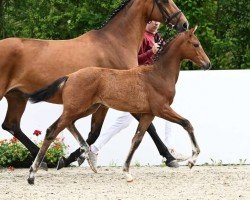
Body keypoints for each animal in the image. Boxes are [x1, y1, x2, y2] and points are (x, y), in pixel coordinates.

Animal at [0, 0, 188, 169]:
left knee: (11, 125)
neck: (114, 43)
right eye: (164, 1)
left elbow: (94, 133)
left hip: (17, 97)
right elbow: (148, 128)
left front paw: (70, 159)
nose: (184, 23)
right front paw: (170, 158)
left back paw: (46, 161)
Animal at [26, 27, 211, 184]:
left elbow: (137, 139)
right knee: (52, 131)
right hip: (75, 109)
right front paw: (192, 160)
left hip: (86, 108)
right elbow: (187, 123)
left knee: (69, 125)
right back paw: (32, 175)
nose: (208, 64)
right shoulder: (161, 109)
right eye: (196, 44)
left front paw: (126, 172)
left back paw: (86, 156)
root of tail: (70, 76)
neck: (157, 75)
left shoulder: (148, 114)